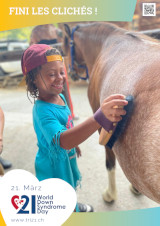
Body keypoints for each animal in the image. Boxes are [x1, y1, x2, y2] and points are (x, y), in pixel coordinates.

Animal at [63, 22, 160, 204]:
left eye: (65, 46)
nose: (70, 72)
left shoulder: (101, 123)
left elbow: (109, 161)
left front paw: (110, 194)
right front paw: (136, 188)